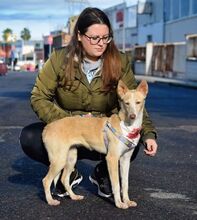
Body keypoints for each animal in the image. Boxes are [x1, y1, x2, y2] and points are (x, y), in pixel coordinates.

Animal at [42, 80, 149, 209]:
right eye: (126, 103)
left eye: (138, 102)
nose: (132, 116)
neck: (127, 126)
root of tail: (48, 127)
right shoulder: (112, 159)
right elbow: (116, 184)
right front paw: (119, 203)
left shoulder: (125, 160)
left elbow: (124, 184)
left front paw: (127, 201)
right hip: (59, 160)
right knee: (46, 180)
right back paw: (50, 200)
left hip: (71, 158)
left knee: (64, 179)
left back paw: (73, 196)